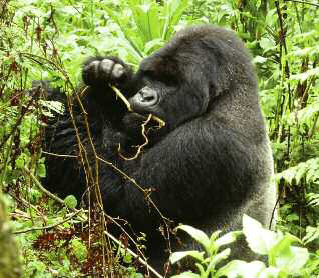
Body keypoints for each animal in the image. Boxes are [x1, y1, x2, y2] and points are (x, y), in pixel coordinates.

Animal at [43, 25, 278, 272]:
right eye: (151, 76)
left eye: (171, 82)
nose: (145, 95)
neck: (228, 96)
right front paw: (105, 76)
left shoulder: (209, 142)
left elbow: (117, 203)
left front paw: (57, 116)